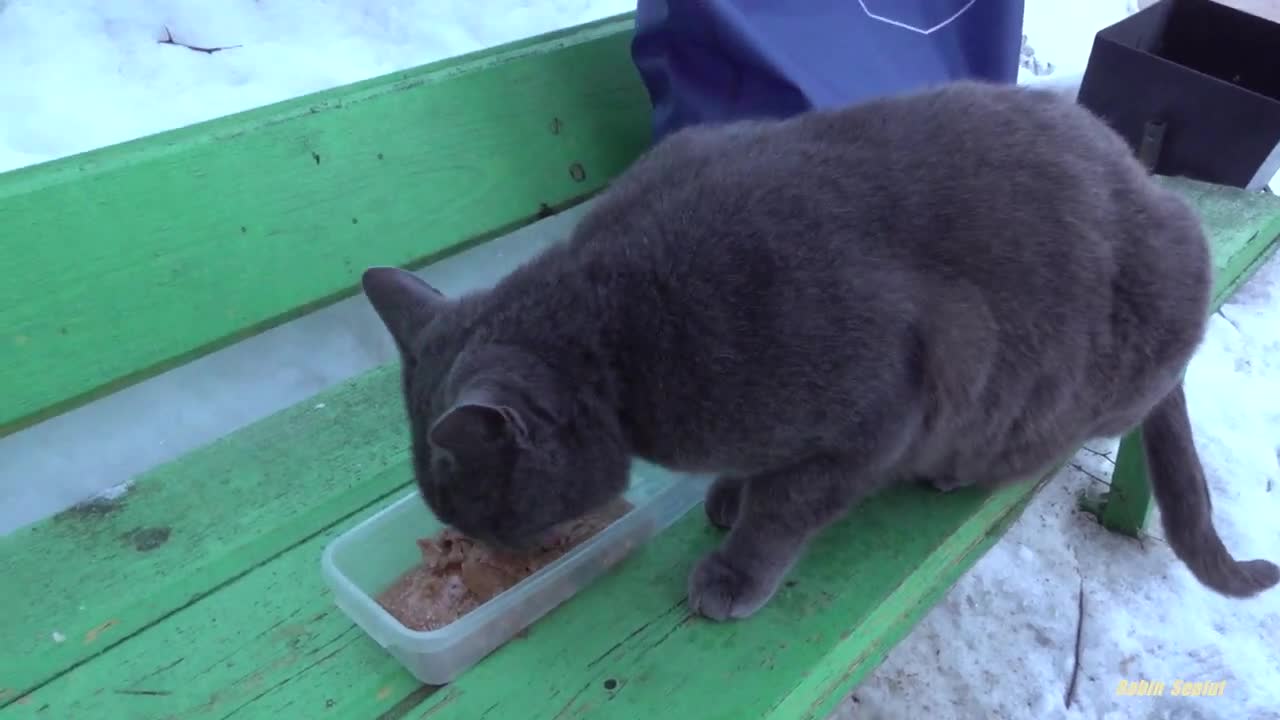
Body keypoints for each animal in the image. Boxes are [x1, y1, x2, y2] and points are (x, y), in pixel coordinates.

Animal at [363, 78, 1280, 617]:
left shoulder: (876, 413)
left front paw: (732, 569)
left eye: (478, 509)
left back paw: (955, 472)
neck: (617, 327)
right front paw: (726, 493)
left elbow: (784, 510)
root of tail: (1156, 189)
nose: (484, 548)